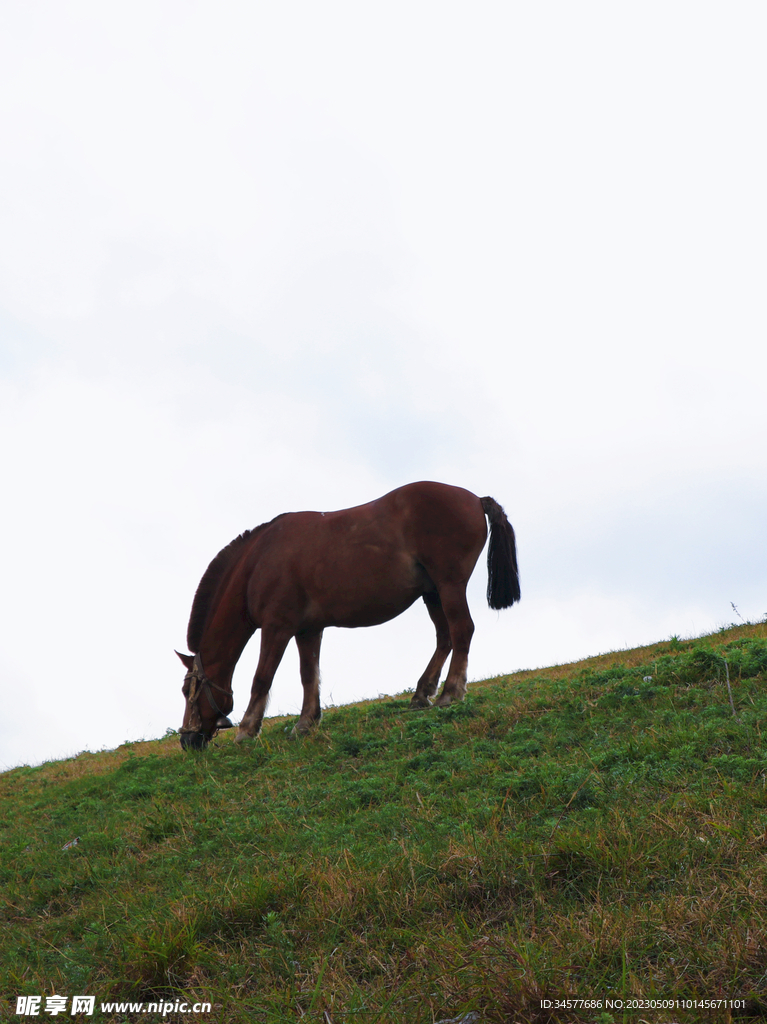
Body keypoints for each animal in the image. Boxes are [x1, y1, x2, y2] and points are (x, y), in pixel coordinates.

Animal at [175, 479, 520, 753]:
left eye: (186, 691)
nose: (187, 739)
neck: (258, 563)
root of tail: (475, 499)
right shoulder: (308, 630)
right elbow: (308, 674)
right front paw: (306, 722)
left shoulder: (277, 628)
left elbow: (262, 677)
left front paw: (248, 729)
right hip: (432, 592)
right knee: (445, 637)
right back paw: (422, 693)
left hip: (449, 585)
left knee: (462, 630)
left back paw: (450, 693)